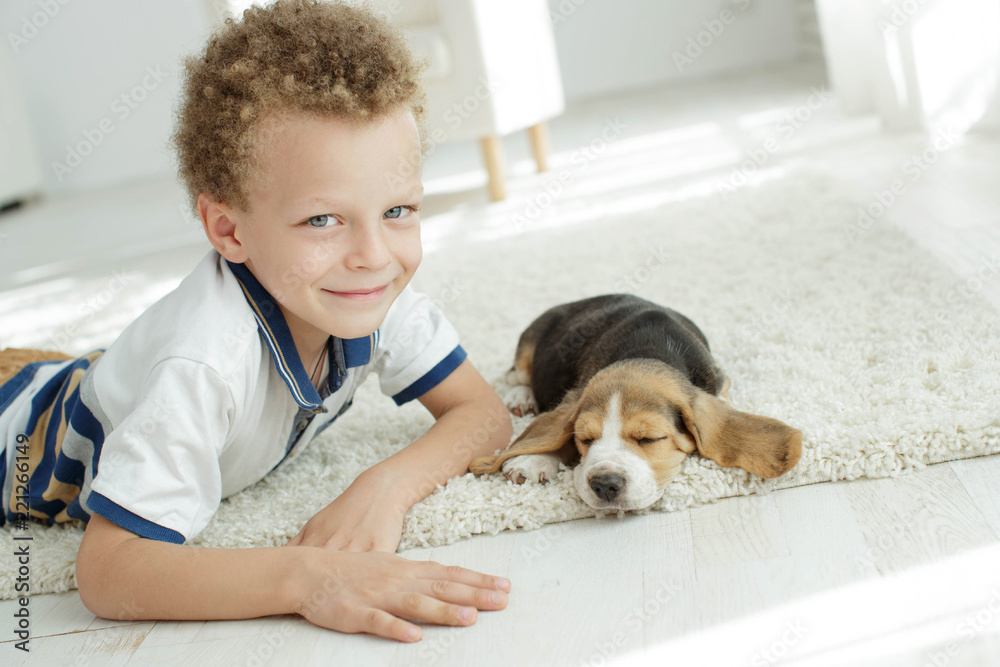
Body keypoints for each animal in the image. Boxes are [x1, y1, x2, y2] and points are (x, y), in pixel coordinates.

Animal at [468, 296, 804, 512]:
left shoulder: (721, 385)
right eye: (586, 439)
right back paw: (520, 397)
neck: (646, 353)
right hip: (529, 348)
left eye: (650, 439)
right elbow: (558, 431)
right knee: (513, 374)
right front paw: (533, 460)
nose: (604, 484)